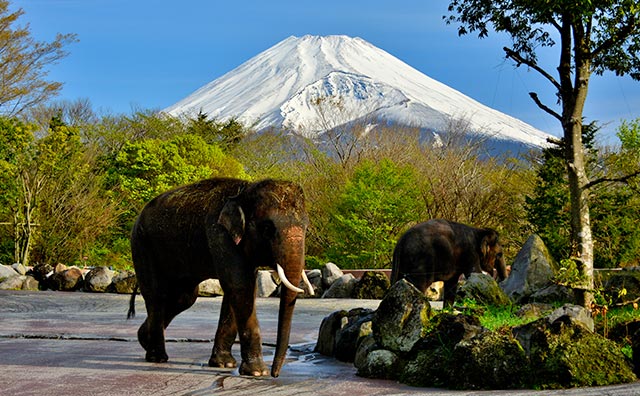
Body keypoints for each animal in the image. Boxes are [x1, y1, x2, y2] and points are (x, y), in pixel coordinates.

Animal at [127, 179, 312, 378]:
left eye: (306, 228)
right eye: (267, 229)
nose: (275, 374)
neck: (244, 190)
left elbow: (240, 289)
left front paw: (224, 364)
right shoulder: (219, 234)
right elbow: (240, 286)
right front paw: (257, 373)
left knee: (184, 298)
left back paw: (144, 339)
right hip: (141, 244)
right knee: (157, 295)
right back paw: (158, 357)